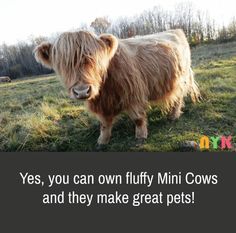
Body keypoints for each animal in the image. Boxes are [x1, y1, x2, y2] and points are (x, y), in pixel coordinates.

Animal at [34, 28, 199, 147]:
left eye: (93, 59)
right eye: (63, 64)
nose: (82, 91)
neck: (105, 89)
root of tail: (176, 30)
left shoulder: (133, 93)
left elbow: (138, 118)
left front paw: (140, 136)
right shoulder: (101, 104)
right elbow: (104, 124)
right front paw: (102, 141)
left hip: (181, 79)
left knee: (178, 98)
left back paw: (173, 116)